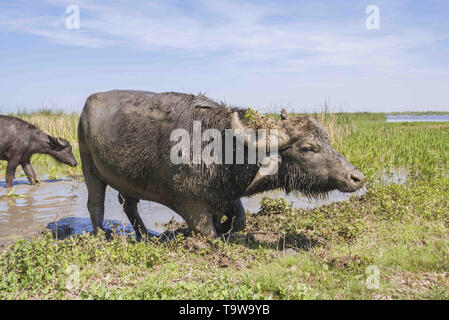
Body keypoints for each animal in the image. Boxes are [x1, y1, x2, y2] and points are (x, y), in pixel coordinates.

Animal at [78, 89, 364, 238]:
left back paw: (146, 235)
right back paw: (101, 235)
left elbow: (240, 219)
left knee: (129, 205)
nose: (356, 177)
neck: (223, 149)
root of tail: (86, 106)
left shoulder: (227, 193)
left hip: (130, 180)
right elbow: (210, 234)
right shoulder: (192, 206)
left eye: (327, 140)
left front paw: (225, 225)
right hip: (89, 168)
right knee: (95, 204)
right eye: (307, 148)